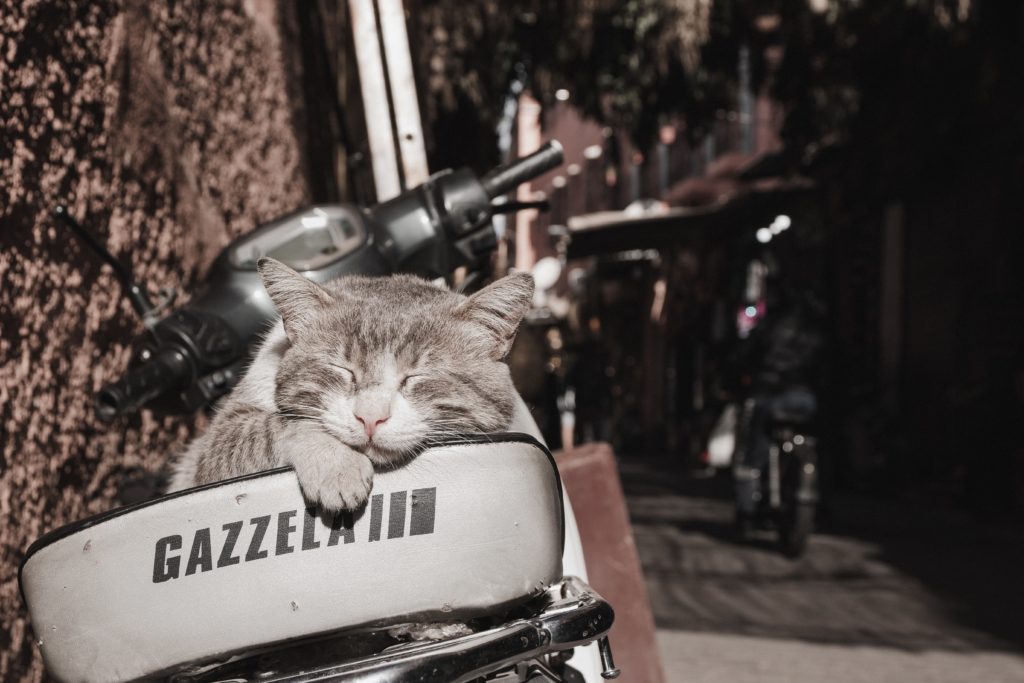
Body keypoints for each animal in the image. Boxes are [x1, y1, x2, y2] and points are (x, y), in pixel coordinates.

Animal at [165, 255, 536, 511]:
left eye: (415, 376)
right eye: (344, 370)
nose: (370, 418)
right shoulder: (214, 449)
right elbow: (280, 424)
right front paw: (336, 464)